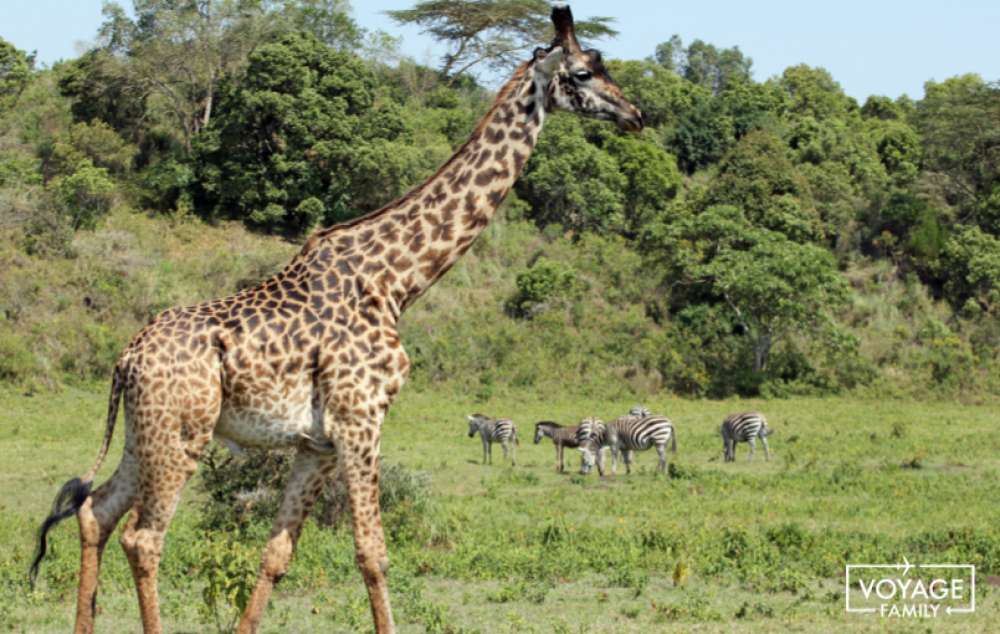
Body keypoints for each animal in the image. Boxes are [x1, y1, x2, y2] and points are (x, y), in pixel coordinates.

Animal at [31, 6, 644, 632]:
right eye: (584, 72)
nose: (636, 115)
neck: (397, 281)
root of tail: (126, 357)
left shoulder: (317, 443)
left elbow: (276, 554)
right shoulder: (361, 419)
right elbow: (373, 553)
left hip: (145, 431)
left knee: (95, 512)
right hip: (183, 432)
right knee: (143, 538)